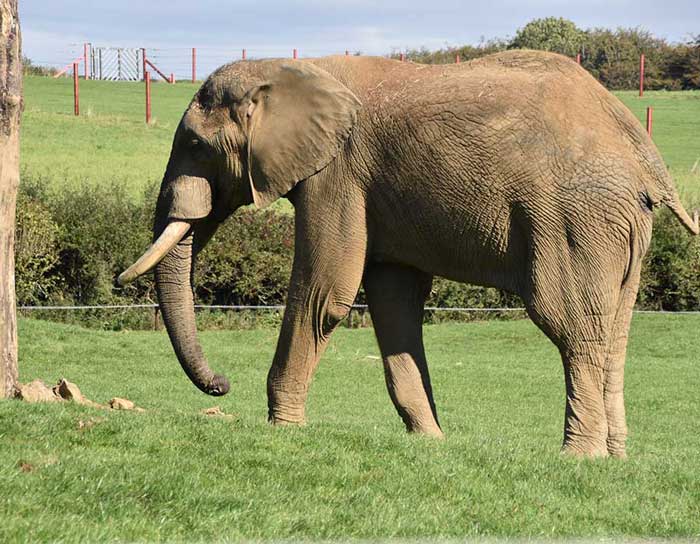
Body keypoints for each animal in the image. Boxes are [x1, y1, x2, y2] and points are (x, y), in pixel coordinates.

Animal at [119, 50, 698, 458]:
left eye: (196, 145)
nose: (220, 385)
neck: (288, 68)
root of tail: (646, 157)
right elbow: (393, 302)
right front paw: (430, 442)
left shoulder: (338, 173)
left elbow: (326, 292)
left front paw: (282, 429)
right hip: (620, 228)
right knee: (614, 333)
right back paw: (614, 460)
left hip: (573, 220)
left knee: (570, 325)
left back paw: (578, 458)